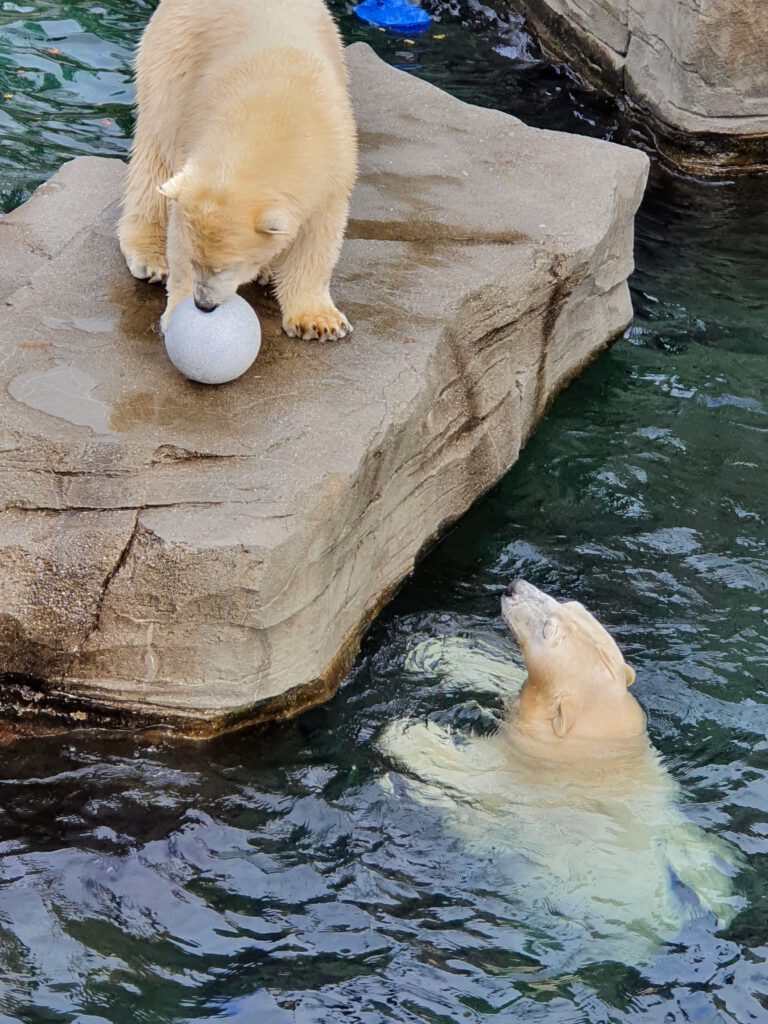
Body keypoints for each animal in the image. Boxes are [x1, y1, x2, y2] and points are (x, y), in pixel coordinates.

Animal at [118, 0, 360, 344]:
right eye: (194, 261)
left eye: (228, 267)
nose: (203, 305)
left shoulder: (335, 162)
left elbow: (318, 237)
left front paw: (320, 323)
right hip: (170, 64)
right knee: (153, 158)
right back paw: (149, 257)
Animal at [382, 585, 741, 966]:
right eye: (571, 605)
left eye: (547, 630)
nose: (513, 587)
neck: (592, 746)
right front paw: (433, 652)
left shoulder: (528, 772)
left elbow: (475, 774)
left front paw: (406, 734)